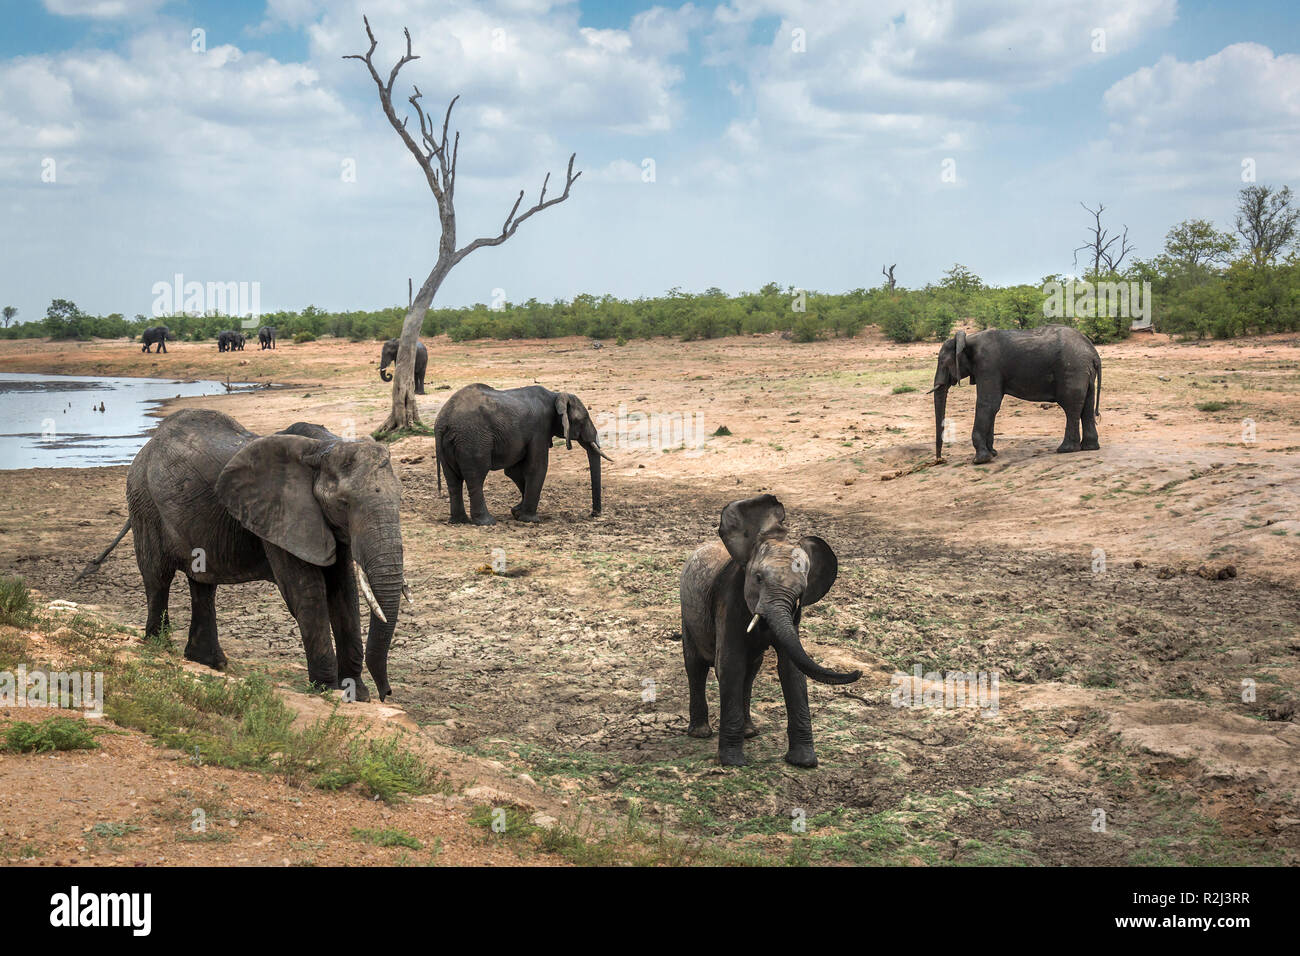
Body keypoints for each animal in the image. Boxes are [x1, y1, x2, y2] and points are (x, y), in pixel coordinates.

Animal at [82, 409, 409, 700]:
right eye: (343, 504)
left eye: (400, 499)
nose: (387, 693)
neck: (324, 448)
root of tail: (148, 445)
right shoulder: (281, 516)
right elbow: (308, 593)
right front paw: (328, 690)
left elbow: (344, 592)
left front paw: (356, 693)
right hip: (143, 501)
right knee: (157, 577)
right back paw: (159, 646)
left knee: (203, 584)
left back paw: (209, 662)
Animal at [433, 384, 612, 525]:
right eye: (584, 419)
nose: (594, 514)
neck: (555, 395)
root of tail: (443, 421)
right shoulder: (540, 428)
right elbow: (537, 467)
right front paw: (530, 520)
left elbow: (514, 471)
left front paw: (516, 512)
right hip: (473, 439)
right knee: (476, 477)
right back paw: (486, 522)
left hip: (450, 445)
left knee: (453, 480)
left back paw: (459, 521)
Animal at [679, 494, 861, 768]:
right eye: (758, 578)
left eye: (800, 593)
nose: (858, 672)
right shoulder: (729, 599)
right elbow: (730, 664)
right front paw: (733, 763)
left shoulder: (794, 617)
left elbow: (792, 668)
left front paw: (804, 762)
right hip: (688, 614)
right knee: (696, 666)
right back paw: (700, 733)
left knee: (751, 672)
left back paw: (749, 732)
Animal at [931, 325, 1101, 465]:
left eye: (943, 363)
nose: (940, 460)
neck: (968, 339)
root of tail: (1093, 353)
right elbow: (993, 407)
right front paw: (993, 454)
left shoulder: (988, 365)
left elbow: (988, 404)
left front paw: (980, 460)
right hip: (1084, 371)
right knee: (1087, 405)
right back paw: (1090, 447)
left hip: (1073, 369)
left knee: (1071, 407)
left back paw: (1066, 449)